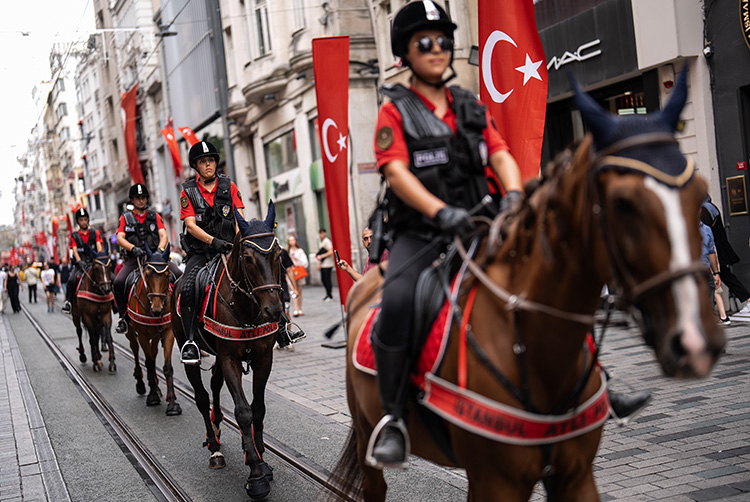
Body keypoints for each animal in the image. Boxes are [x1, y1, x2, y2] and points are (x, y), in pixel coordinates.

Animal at [124, 244, 183, 416]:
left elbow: (167, 367)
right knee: (136, 351)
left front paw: (172, 403)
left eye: (167, 275)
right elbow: (149, 363)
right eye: (148, 274)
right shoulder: (142, 335)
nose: (157, 309)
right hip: (131, 332)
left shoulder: (168, 332)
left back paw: (156, 386)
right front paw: (152, 396)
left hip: (156, 335)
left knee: (154, 352)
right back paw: (143, 384)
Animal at [171, 205, 284, 502]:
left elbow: (258, 409)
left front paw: (261, 459)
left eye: (279, 254)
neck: (245, 305)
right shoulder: (229, 358)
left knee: (214, 386)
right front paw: (256, 476)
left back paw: (218, 424)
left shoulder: (263, 358)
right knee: (201, 397)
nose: (274, 311)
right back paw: (214, 447)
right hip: (191, 352)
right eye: (247, 257)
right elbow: (243, 412)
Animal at [330, 68, 728, 500]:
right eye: (623, 203)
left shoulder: (575, 475)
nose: (696, 341)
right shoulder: (496, 481)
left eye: (699, 193)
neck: (531, 341)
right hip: (369, 439)